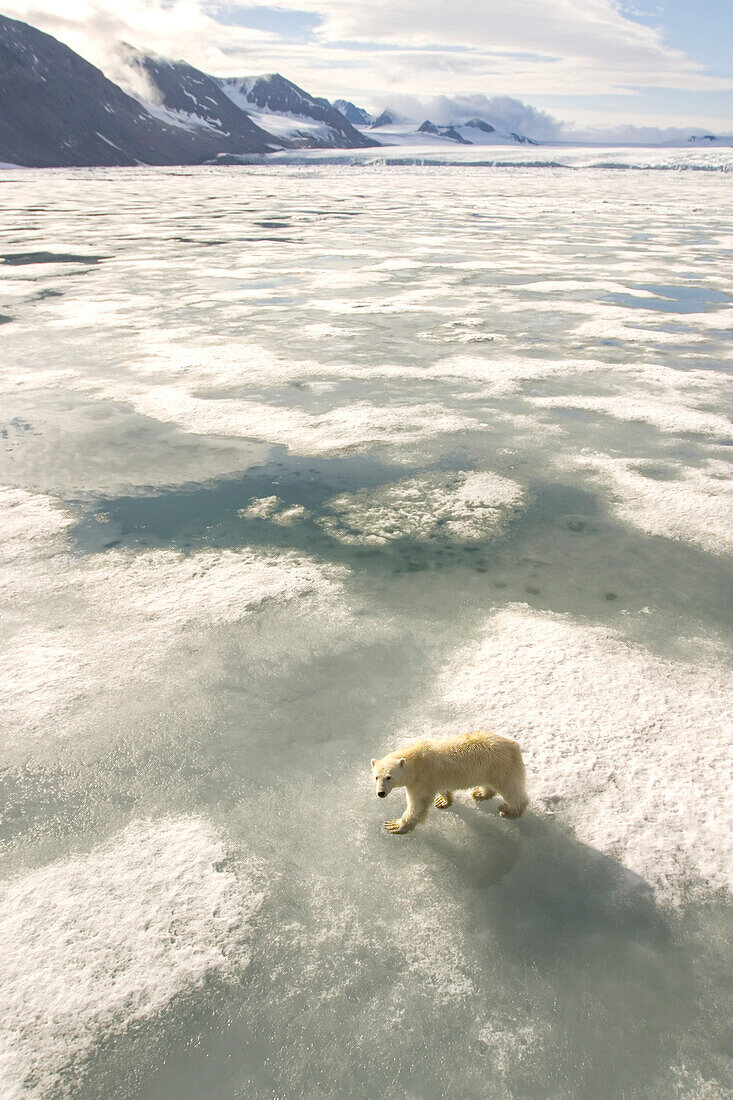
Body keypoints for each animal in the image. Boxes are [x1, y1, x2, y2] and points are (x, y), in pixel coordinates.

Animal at [372, 730, 526, 831]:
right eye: (376, 777)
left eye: (389, 777)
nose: (380, 793)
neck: (415, 761)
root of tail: (514, 746)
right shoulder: (434, 779)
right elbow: (443, 790)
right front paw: (443, 801)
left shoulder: (421, 780)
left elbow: (417, 805)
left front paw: (396, 825)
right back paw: (479, 794)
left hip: (502, 767)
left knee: (511, 789)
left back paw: (508, 810)